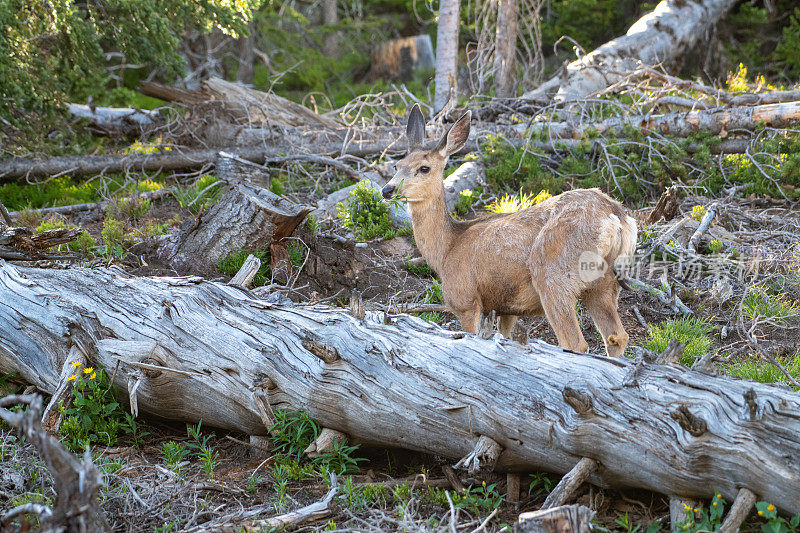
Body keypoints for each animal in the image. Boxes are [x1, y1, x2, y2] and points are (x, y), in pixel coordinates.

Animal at [382, 102, 636, 356]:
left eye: (424, 168)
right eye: (397, 165)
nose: (387, 190)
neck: (446, 249)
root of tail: (616, 217)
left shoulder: (465, 299)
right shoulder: (508, 308)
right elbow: (505, 337)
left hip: (553, 274)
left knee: (575, 342)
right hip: (604, 283)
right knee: (616, 336)